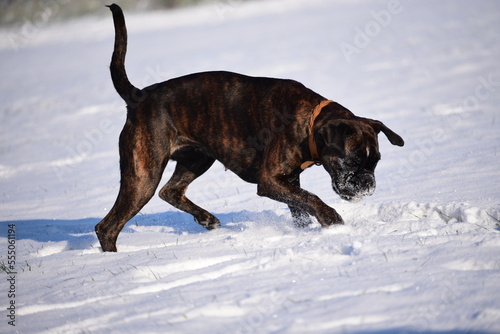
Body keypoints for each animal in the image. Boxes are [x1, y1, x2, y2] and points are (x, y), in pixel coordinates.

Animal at [95, 3, 404, 252]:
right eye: (350, 162)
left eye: (375, 162)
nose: (367, 185)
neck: (310, 122)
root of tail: (138, 97)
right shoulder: (270, 181)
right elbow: (312, 199)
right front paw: (334, 223)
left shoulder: (289, 180)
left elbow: (301, 206)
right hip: (143, 176)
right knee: (107, 226)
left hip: (196, 159)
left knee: (170, 191)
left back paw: (206, 219)